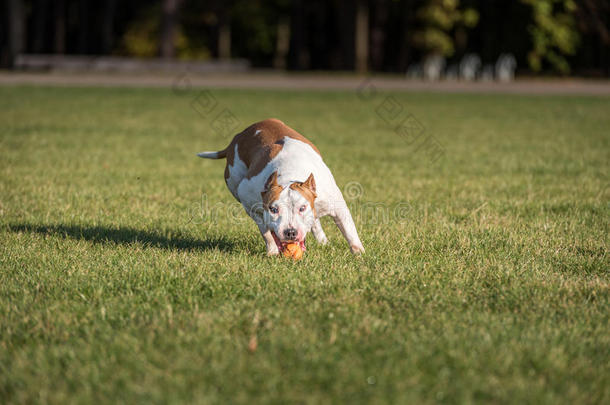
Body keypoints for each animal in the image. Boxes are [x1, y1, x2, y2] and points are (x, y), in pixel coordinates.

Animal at [197, 117, 364, 256]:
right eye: (273, 209)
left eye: (302, 208)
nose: (290, 232)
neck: (289, 174)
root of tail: (239, 136)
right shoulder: (250, 203)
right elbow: (266, 232)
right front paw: (272, 251)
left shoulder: (337, 205)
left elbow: (349, 230)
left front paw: (359, 253)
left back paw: (323, 241)